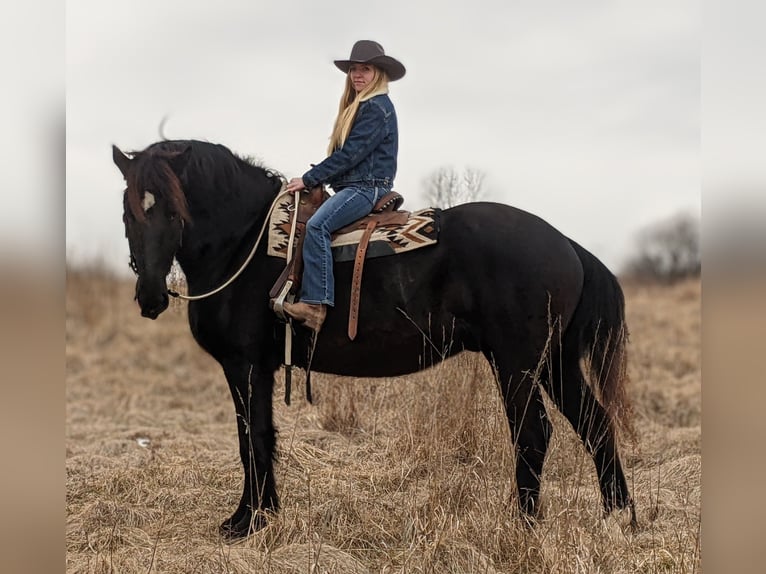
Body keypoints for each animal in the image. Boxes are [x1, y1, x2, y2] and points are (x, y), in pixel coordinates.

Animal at [112, 140, 636, 540]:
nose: (150, 295)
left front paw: (246, 522)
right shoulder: (258, 367)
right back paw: (619, 519)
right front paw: (261, 515)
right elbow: (261, 437)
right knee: (595, 425)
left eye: (174, 210)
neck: (243, 243)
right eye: (129, 213)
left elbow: (251, 438)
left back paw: (522, 526)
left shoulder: (245, 365)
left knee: (533, 435)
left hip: (518, 364)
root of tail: (567, 244)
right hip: (556, 361)